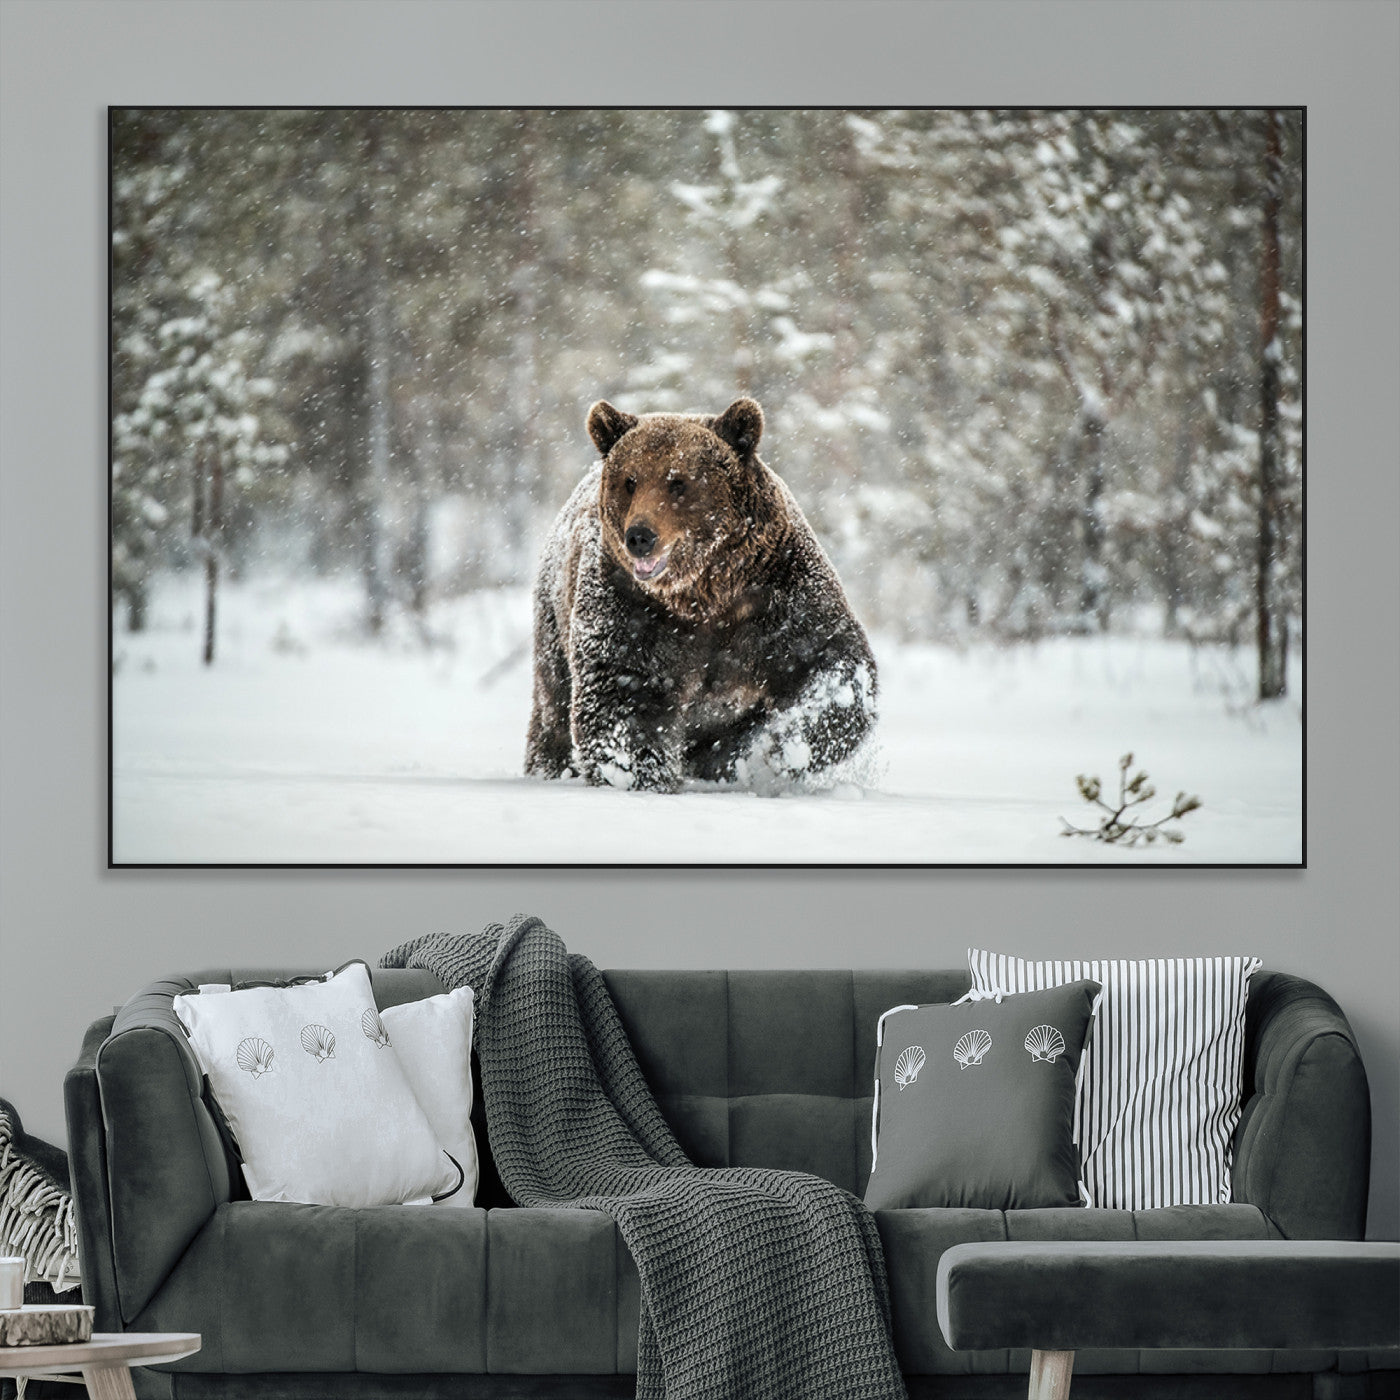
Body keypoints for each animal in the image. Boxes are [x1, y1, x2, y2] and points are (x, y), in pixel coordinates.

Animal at [524, 397, 877, 794]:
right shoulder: (631, 607)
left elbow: (831, 662)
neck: (704, 592)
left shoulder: (778, 593)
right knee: (553, 703)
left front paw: (783, 747)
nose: (640, 536)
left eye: (678, 482)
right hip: (554, 618)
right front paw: (641, 777)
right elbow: (623, 694)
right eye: (630, 481)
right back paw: (552, 766)